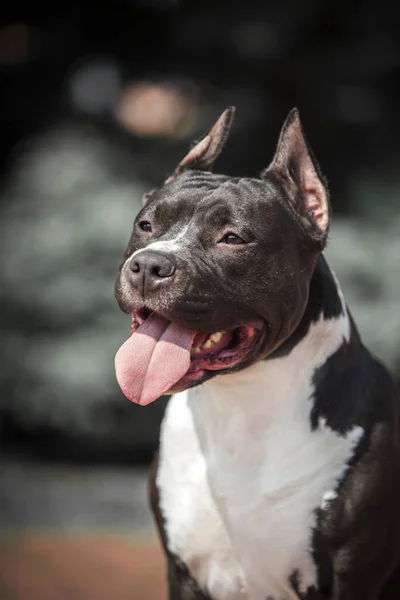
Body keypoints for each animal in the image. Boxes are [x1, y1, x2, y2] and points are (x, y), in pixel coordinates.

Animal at [112, 109, 400, 600]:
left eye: (232, 238)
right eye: (146, 225)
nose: (149, 264)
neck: (239, 405)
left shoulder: (351, 578)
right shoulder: (182, 571)